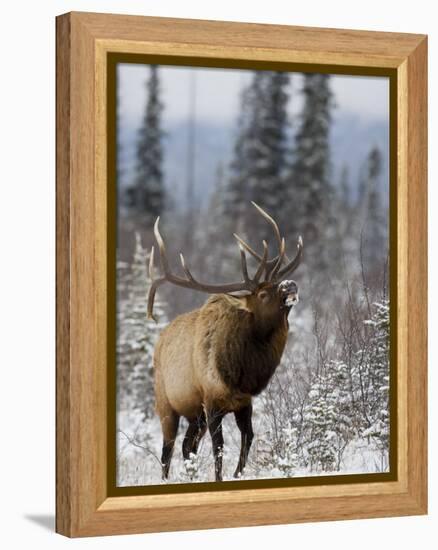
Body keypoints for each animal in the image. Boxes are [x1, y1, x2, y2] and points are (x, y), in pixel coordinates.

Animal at [146, 203, 302, 484]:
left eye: (276, 283)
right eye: (263, 294)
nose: (290, 284)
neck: (242, 372)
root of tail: (159, 341)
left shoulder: (243, 402)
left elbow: (248, 438)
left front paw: (237, 474)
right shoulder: (212, 401)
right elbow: (218, 447)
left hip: (195, 414)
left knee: (187, 445)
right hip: (166, 403)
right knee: (168, 449)